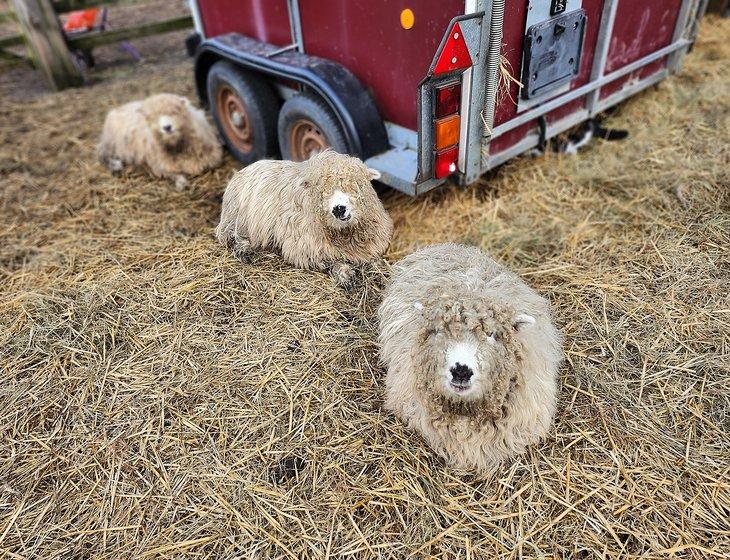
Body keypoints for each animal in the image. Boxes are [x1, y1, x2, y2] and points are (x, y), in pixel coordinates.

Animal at [215, 150, 392, 284]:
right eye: (320, 190)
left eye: (355, 183)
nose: (339, 209)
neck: (344, 233)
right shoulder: (304, 249)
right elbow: (330, 261)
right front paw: (344, 274)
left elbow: (375, 261)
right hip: (236, 219)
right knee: (231, 236)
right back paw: (245, 251)